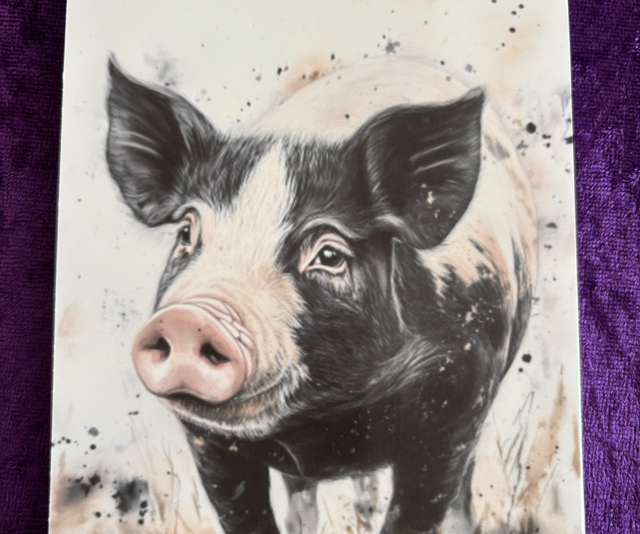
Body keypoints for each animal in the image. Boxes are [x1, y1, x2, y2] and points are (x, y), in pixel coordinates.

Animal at [105, 56, 536, 534]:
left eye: (329, 254)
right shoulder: (209, 443)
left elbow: (423, 506)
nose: (189, 318)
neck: (323, 423)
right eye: (186, 231)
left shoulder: (459, 403)